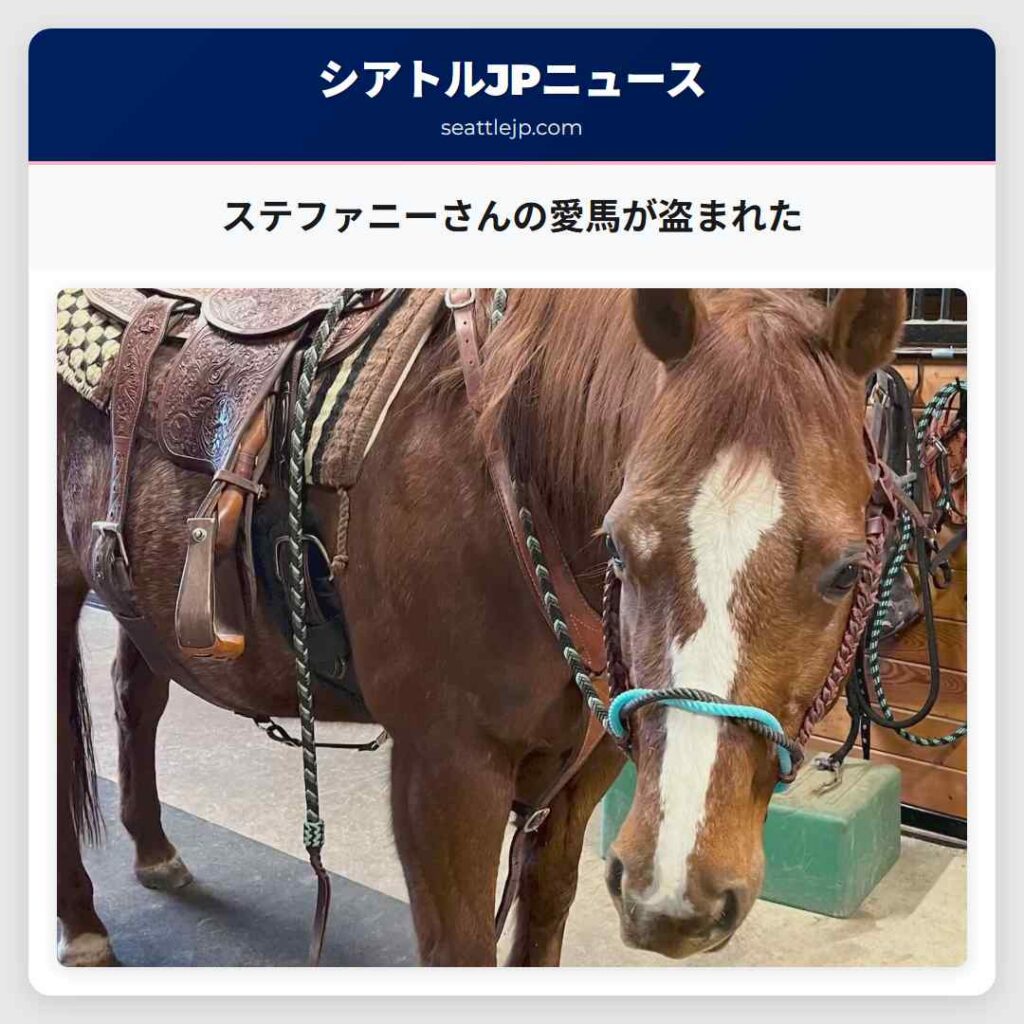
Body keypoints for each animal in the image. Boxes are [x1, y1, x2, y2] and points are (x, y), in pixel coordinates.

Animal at [56, 287, 905, 966]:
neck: (510, 484)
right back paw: (83, 924)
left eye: (846, 571)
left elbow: (544, 916)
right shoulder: (446, 774)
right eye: (618, 544)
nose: (675, 893)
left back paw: (155, 852)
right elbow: (460, 946)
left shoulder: (585, 769)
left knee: (135, 698)